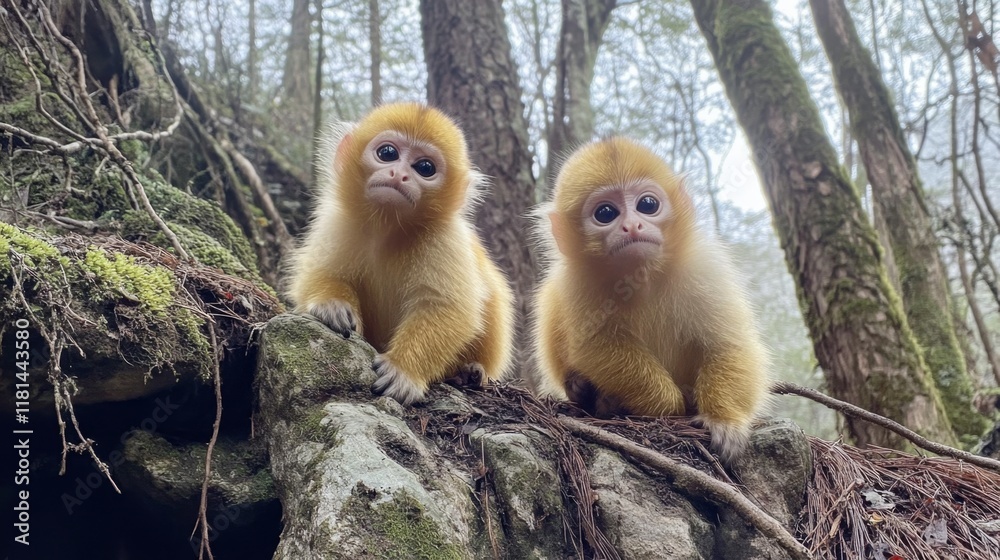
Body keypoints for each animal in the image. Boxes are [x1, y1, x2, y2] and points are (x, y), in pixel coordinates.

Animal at [287, 102, 515, 405]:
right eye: (387, 153)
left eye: (425, 168)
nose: (399, 174)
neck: (389, 230)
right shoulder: (339, 220)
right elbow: (319, 274)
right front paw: (332, 304)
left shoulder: (446, 239)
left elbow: (449, 307)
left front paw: (404, 371)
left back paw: (470, 371)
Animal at [530, 137, 769, 464]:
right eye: (606, 213)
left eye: (647, 205)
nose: (632, 226)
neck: (641, 278)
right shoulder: (576, 283)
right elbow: (595, 345)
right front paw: (670, 405)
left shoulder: (703, 267)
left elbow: (728, 343)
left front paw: (724, 419)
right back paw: (589, 393)